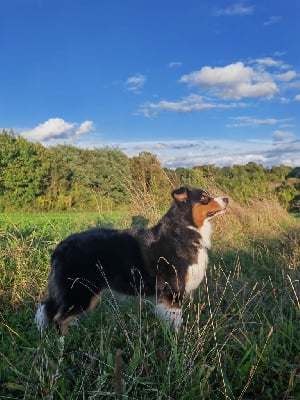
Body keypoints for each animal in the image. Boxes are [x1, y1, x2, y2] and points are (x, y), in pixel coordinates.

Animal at [35, 188, 227, 334]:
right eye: (204, 197)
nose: (227, 198)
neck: (184, 229)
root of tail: (59, 248)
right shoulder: (172, 291)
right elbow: (176, 321)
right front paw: (177, 344)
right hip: (81, 292)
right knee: (59, 318)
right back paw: (63, 343)